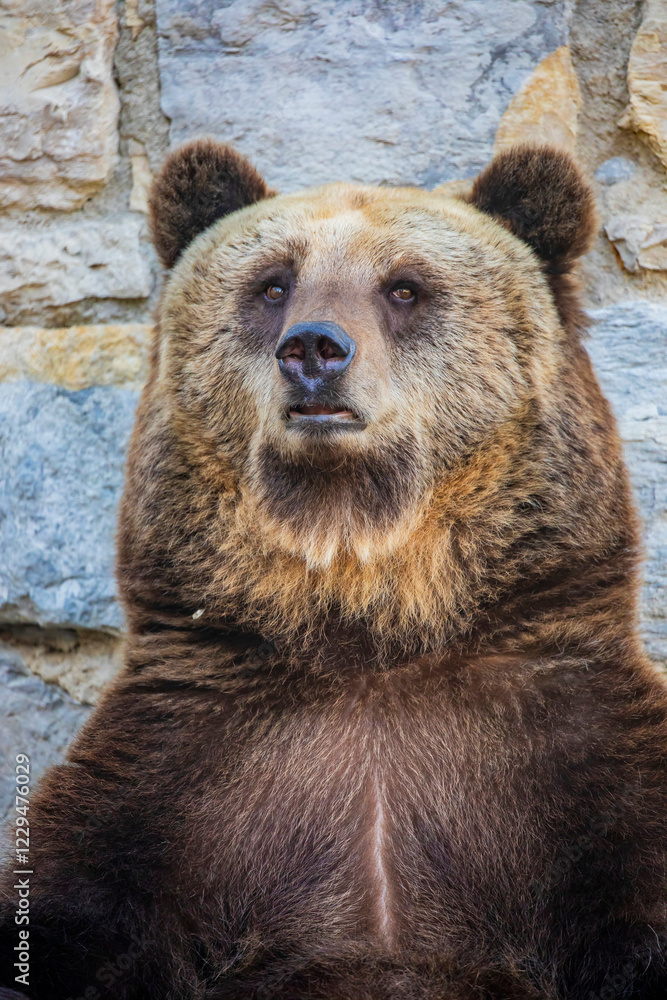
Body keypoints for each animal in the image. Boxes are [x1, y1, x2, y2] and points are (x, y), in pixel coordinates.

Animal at [1, 139, 666, 1000]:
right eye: (273, 283)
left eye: (404, 287)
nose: (314, 349)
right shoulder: (171, 779)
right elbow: (70, 908)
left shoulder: (576, 766)